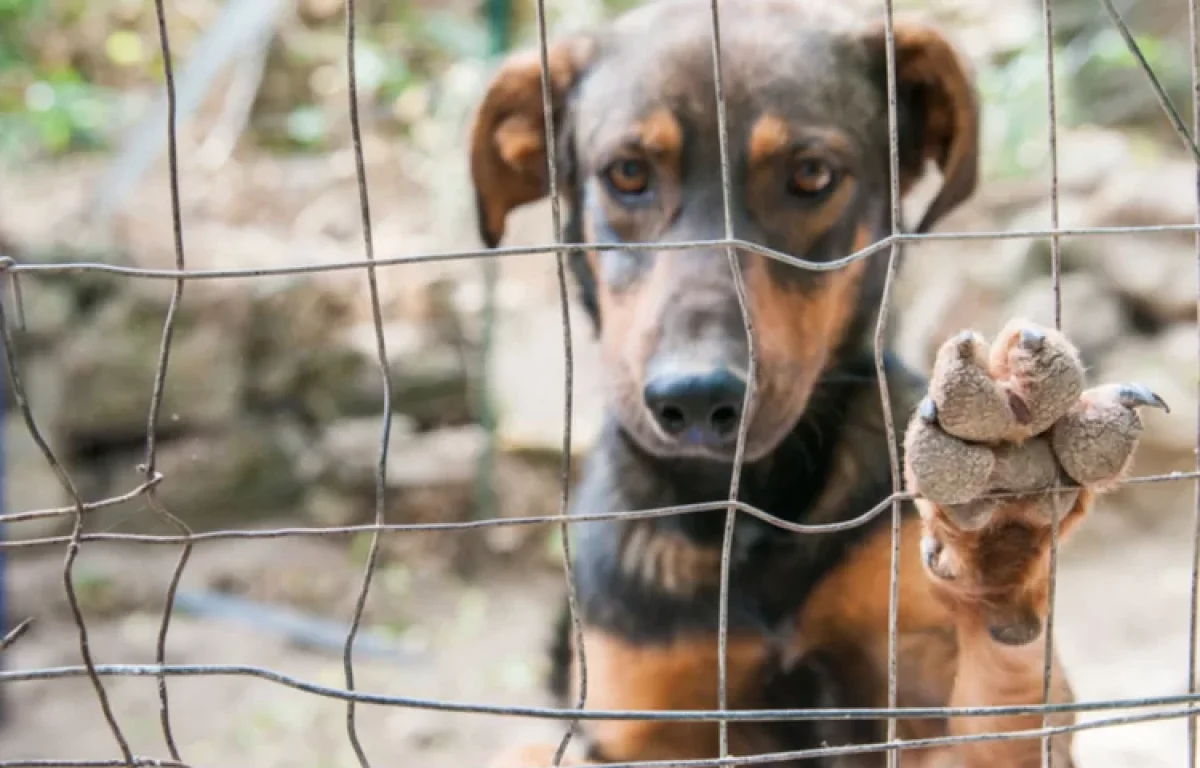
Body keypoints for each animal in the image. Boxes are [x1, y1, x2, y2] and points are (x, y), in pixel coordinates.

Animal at [465, 3, 1161, 763]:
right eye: (626, 173)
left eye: (811, 175)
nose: (697, 400)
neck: (749, 511)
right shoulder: (643, 720)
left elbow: (1002, 699)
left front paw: (1006, 515)